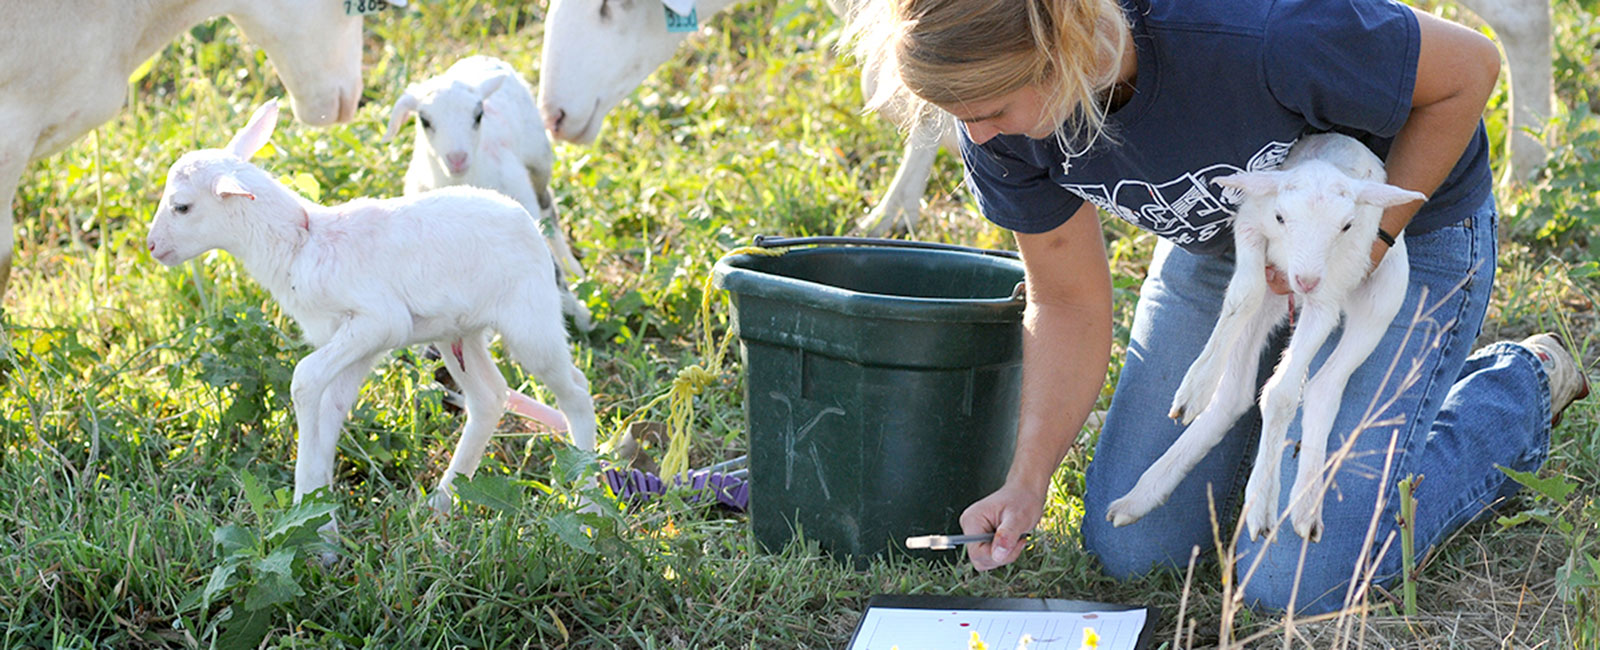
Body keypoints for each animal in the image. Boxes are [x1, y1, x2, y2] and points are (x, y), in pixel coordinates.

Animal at [148, 101, 601, 528]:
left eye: (182, 207)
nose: (152, 246)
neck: (300, 244)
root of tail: (526, 221)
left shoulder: (379, 320)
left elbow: (305, 380)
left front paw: (311, 507)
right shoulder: (354, 340)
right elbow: (329, 407)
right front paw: (317, 521)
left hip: (529, 318)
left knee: (575, 391)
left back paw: (587, 502)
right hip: (457, 331)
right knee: (490, 397)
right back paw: (441, 502)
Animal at [380, 56, 588, 333]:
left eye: (478, 116)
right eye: (425, 120)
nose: (457, 158)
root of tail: (480, 58)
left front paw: (579, 314)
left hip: (538, 159)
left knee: (549, 209)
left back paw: (572, 267)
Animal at [1107, 133, 1433, 544]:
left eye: (1347, 225)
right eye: (1280, 217)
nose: (1305, 280)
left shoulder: (1329, 292)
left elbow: (1281, 394)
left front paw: (1262, 505)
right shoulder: (1249, 223)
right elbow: (1243, 294)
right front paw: (1196, 386)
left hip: (1385, 293)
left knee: (1322, 388)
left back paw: (1305, 506)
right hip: (1274, 301)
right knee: (1235, 391)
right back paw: (1142, 494)